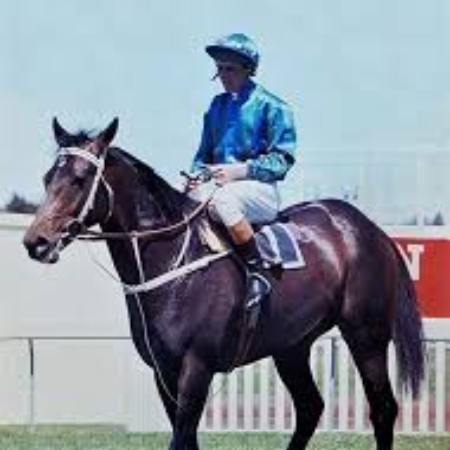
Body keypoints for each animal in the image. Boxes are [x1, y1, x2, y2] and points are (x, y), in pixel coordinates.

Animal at [23, 118, 424, 450]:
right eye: (47, 178)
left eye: (79, 179)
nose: (35, 242)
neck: (173, 262)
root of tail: (369, 228)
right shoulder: (164, 371)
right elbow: (186, 439)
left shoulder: (197, 368)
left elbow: (181, 439)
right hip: (292, 345)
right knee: (311, 406)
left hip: (366, 334)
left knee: (383, 407)